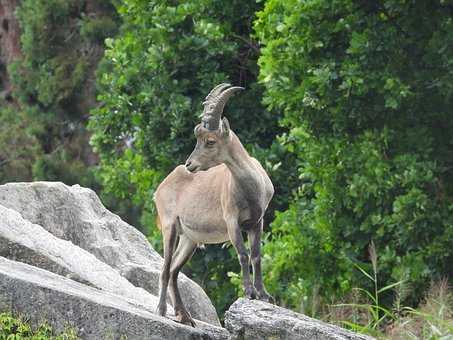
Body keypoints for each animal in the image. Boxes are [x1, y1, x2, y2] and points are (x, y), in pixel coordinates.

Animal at [154, 83, 274, 326]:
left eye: (210, 141)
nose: (190, 164)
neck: (251, 188)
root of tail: (161, 187)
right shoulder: (232, 220)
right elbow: (243, 254)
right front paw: (249, 292)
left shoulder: (257, 222)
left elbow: (256, 255)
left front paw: (264, 295)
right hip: (169, 227)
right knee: (164, 269)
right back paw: (161, 310)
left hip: (190, 239)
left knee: (174, 270)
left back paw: (184, 315)